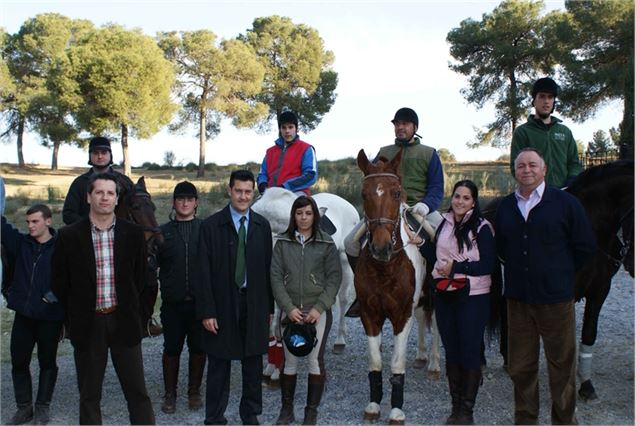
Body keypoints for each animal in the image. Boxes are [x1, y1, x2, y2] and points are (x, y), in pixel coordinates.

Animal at [356, 148, 430, 424]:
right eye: (363, 194)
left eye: (396, 193)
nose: (381, 247)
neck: (385, 269)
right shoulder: (369, 315)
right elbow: (375, 362)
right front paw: (374, 404)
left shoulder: (402, 315)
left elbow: (397, 363)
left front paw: (397, 410)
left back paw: (433, 364)